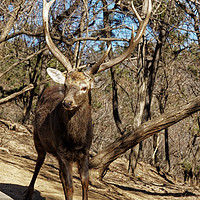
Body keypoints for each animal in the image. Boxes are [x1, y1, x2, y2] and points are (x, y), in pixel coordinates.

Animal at [24, 0, 151, 200]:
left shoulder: (85, 153)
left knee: (56, 173)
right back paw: (28, 192)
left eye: (85, 87)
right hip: (38, 138)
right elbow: (70, 187)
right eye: (66, 84)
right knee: (39, 161)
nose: (67, 103)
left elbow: (85, 182)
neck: (75, 141)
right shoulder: (62, 152)